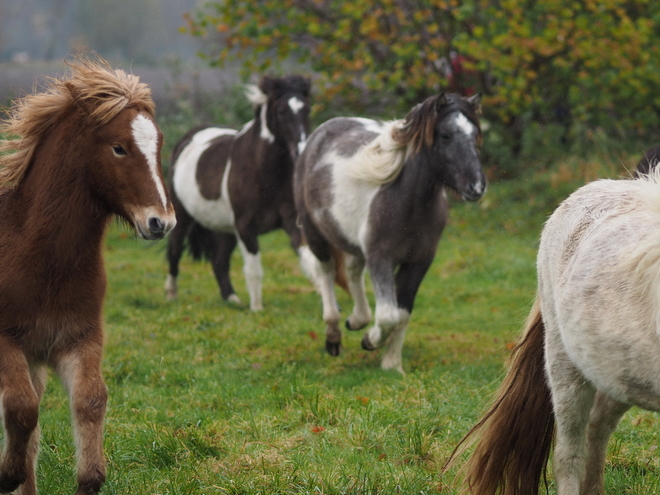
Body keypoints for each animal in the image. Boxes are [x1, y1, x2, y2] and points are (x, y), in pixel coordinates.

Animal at [0, 56, 175, 494]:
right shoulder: (6, 341)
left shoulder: (77, 340)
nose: (161, 222)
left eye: (159, 145)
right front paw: (6, 474)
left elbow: (91, 401)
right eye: (119, 147)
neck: (45, 262)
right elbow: (21, 408)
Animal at [164, 74, 310, 310]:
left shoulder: (291, 222)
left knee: (219, 261)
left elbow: (311, 261)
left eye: (307, 109)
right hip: (182, 216)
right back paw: (171, 295)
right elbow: (254, 271)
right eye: (281, 111)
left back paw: (232, 299)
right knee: (175, 250)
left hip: (225, 228)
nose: (300, 150)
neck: (266, 173)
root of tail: (187, 137)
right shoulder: (245, 227)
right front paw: (257, 309)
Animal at [294, 92, 484, 372]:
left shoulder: (418, 262)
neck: (409, 205)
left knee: (352, 272)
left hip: (353, 244)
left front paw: (392, 364)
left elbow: (402, 314)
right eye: (445, 135)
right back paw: (333, 337)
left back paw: (357, 320)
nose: (477, 186)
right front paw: (370, 341)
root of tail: (319, 133)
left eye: (475, 135)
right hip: (315, 233)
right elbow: (388, 316)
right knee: (326, 273)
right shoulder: (380, 258)